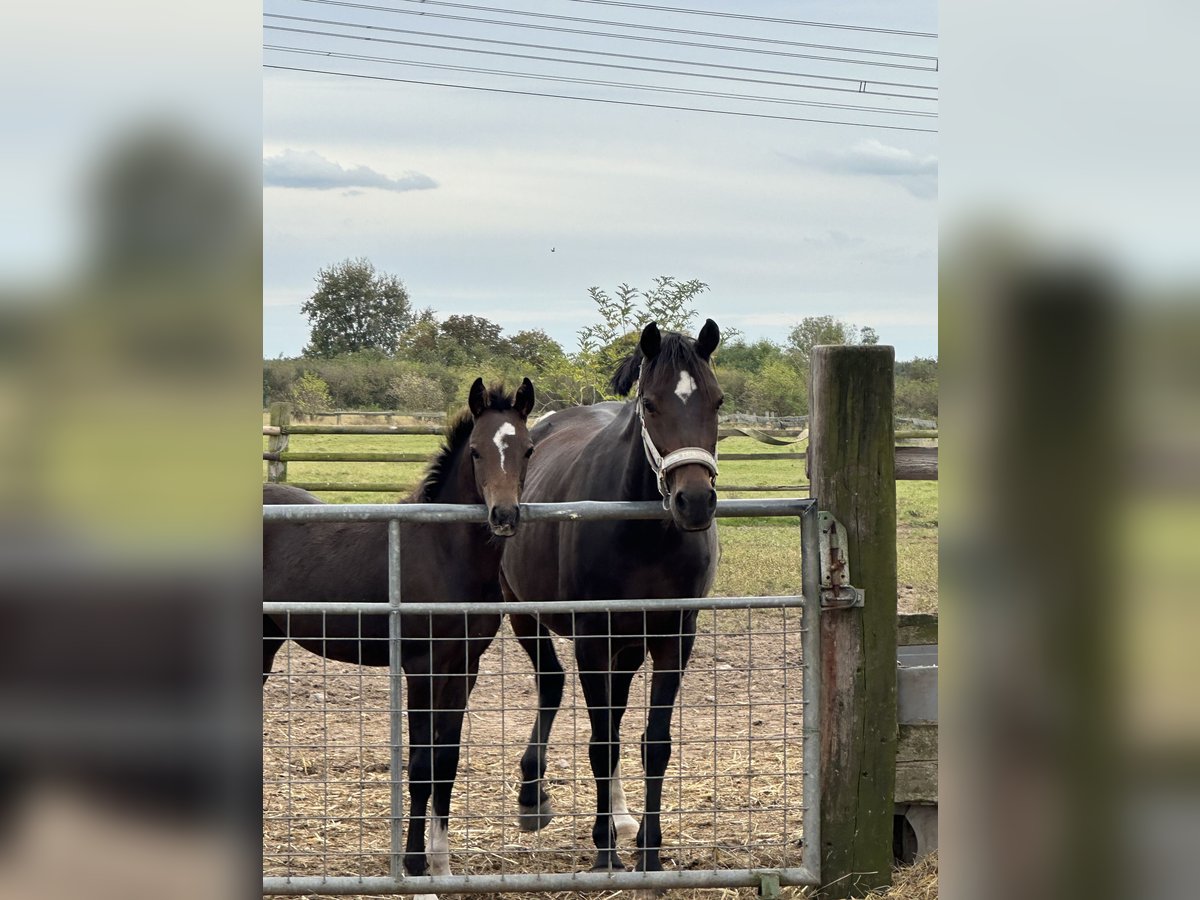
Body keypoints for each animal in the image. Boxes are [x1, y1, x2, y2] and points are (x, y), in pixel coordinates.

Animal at [265, 374, 532, 897]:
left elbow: (447, 764)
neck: (444, 552)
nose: (505, 517)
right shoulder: (422, 668)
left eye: (528, 449)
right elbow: (422, 767)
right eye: (475, 451)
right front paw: (414, 870)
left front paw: (443, 868)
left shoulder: (463, 667)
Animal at [499, 321, 720, 873]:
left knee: (616, 719)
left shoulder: (672, 638)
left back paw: (622, 818)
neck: (644, 535)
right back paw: (533, 795)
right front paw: (604, 850)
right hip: (524, 613)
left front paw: (649, 850)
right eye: (651, 405)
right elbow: (601, 744)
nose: (694, 501)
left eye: (718, 402)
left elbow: (652, 744)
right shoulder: (593, 639)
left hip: (627, 646)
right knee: (553, 684)